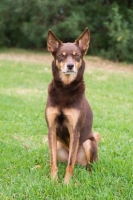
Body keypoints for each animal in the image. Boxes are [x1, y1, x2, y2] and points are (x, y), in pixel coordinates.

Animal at [45, 28, 100, 184]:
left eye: (77, 56)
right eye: (61, 56)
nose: (70, 66)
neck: (65, 88)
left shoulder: (75, 130)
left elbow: (70, 163)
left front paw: (66, 183)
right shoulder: (51, 128)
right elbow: (53, 161)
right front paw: (53, 181)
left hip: (88, 143)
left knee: (86, 165)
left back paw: (89, 175)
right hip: (56, 144)